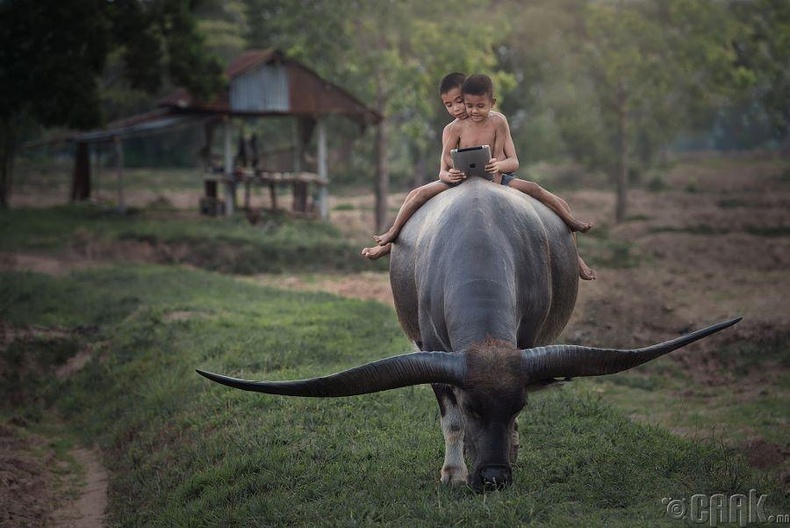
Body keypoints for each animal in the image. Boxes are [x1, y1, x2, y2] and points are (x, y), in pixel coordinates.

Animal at [200, 176, 744, 490]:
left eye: (518, 405)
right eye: (473, 405)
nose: (496, 478)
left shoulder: (526, 343)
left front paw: (513, 449)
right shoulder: (432, 352)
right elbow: (450, 422)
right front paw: (454, 472)